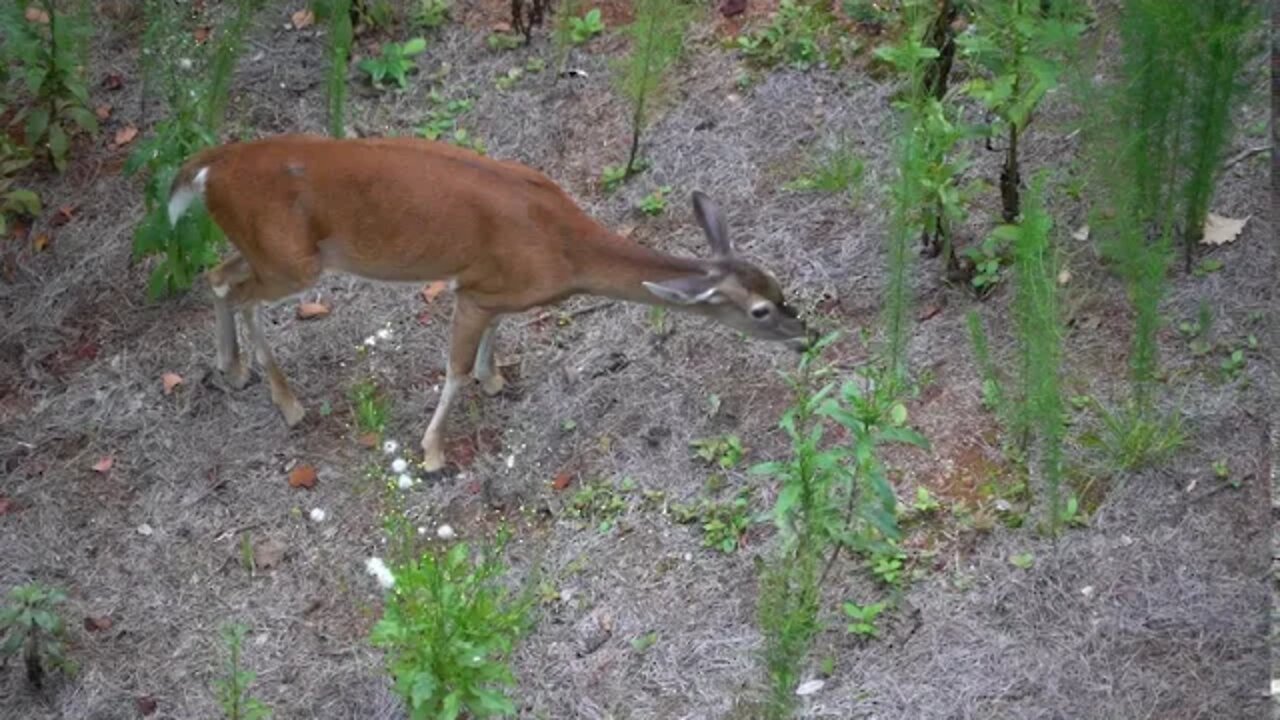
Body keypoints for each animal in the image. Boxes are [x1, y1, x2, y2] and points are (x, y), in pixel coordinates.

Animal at [164, 134, 812, 472]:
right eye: (759, 311)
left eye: (781, 288)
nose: (807, 337)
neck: (566, 251)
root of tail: (206, 168)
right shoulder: (471, 290)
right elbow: (451, 372)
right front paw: (431, 452)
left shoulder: (495, 288)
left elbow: (495, 336)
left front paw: (495, 377)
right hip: (291, 261)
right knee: (236, 291)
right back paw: (286, 401)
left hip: (262, 249)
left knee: (215, 273)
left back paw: (232, 369)